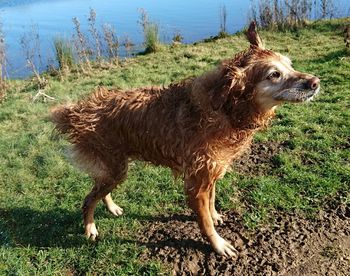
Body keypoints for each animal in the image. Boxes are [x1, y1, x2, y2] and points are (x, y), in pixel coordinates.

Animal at [51, 21, 320, 256]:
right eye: (274, 74)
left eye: (290, 65)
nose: (316, 82)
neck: (227, 110)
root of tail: (79, 110)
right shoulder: (195, 184)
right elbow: (205, 223)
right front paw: (219, 245)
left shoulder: (212, 172)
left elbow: (212, 201)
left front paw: (215, 215)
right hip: (115, 168)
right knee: (88, 199)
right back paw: (90, 228)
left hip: (113, 168)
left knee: (99, 188)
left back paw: (112, 207)